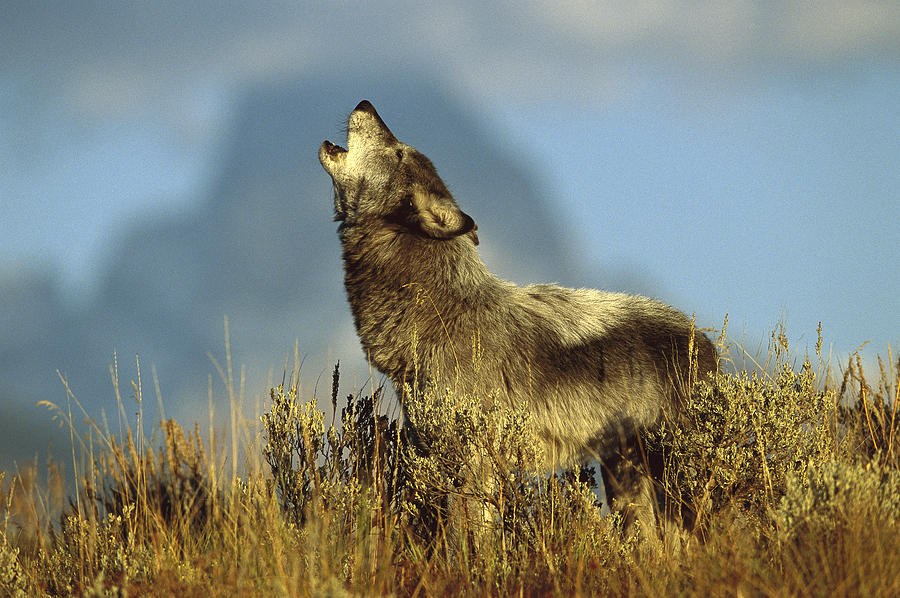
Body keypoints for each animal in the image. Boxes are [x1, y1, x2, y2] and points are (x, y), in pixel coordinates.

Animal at [319, 100, 718, 529]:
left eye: (398, 152)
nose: (365, 104)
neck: (440, 310)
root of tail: (705, 342)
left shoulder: (473, 464)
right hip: (627, 482)